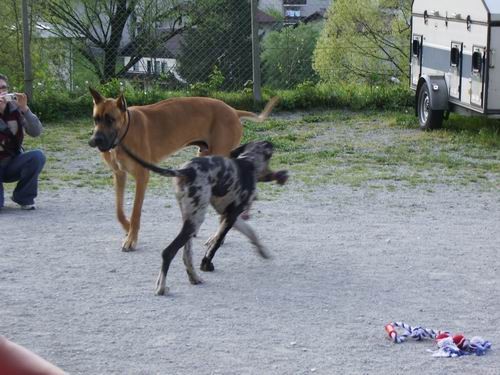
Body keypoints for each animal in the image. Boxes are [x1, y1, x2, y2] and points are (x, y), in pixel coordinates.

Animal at [89, 88, 278, 251]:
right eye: (96, 119)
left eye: (110, 119)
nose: (94, 141)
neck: (124, 132)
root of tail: (233, 110)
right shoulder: (119, 175)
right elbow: (119, 211)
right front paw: (127, 228)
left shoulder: (142, 177)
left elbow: (136, 212)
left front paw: (131, 238)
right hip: (205, 157)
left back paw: (217, 237)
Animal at [120, 141, 290, 296]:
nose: (283, 174)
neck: (249, 162)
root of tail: (186, 170)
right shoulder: (231, 218)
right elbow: (216, 244)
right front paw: (207, 264)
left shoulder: (230, 216)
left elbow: (251, 232)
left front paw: (262, 250)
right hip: (195, 222)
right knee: (168, 252)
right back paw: (161, 288)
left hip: (190, 222)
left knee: (186, 255)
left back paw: (193, 278)